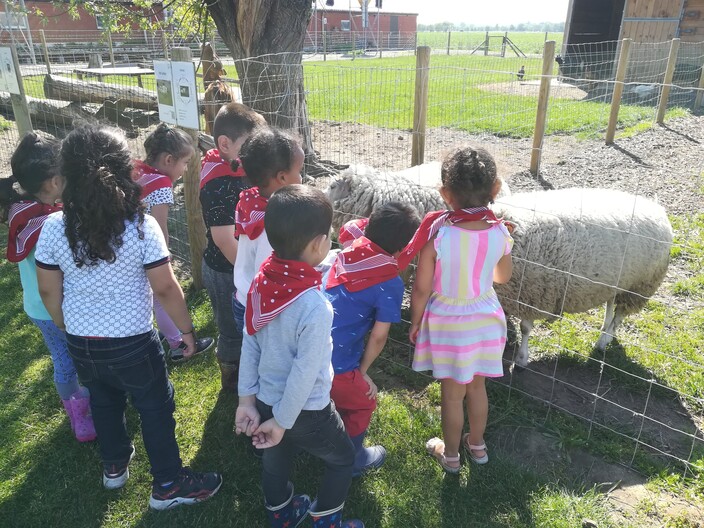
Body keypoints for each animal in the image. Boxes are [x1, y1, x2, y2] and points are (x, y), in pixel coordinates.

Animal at [492, 189, 672, 368]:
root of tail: (658, 209)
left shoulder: (533, 295)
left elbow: (525, 328)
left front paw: (521, 359)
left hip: (640, 286)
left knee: (620, 314)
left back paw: (603, 340)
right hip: (618, 282)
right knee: (611, 303)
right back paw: (605, 327)